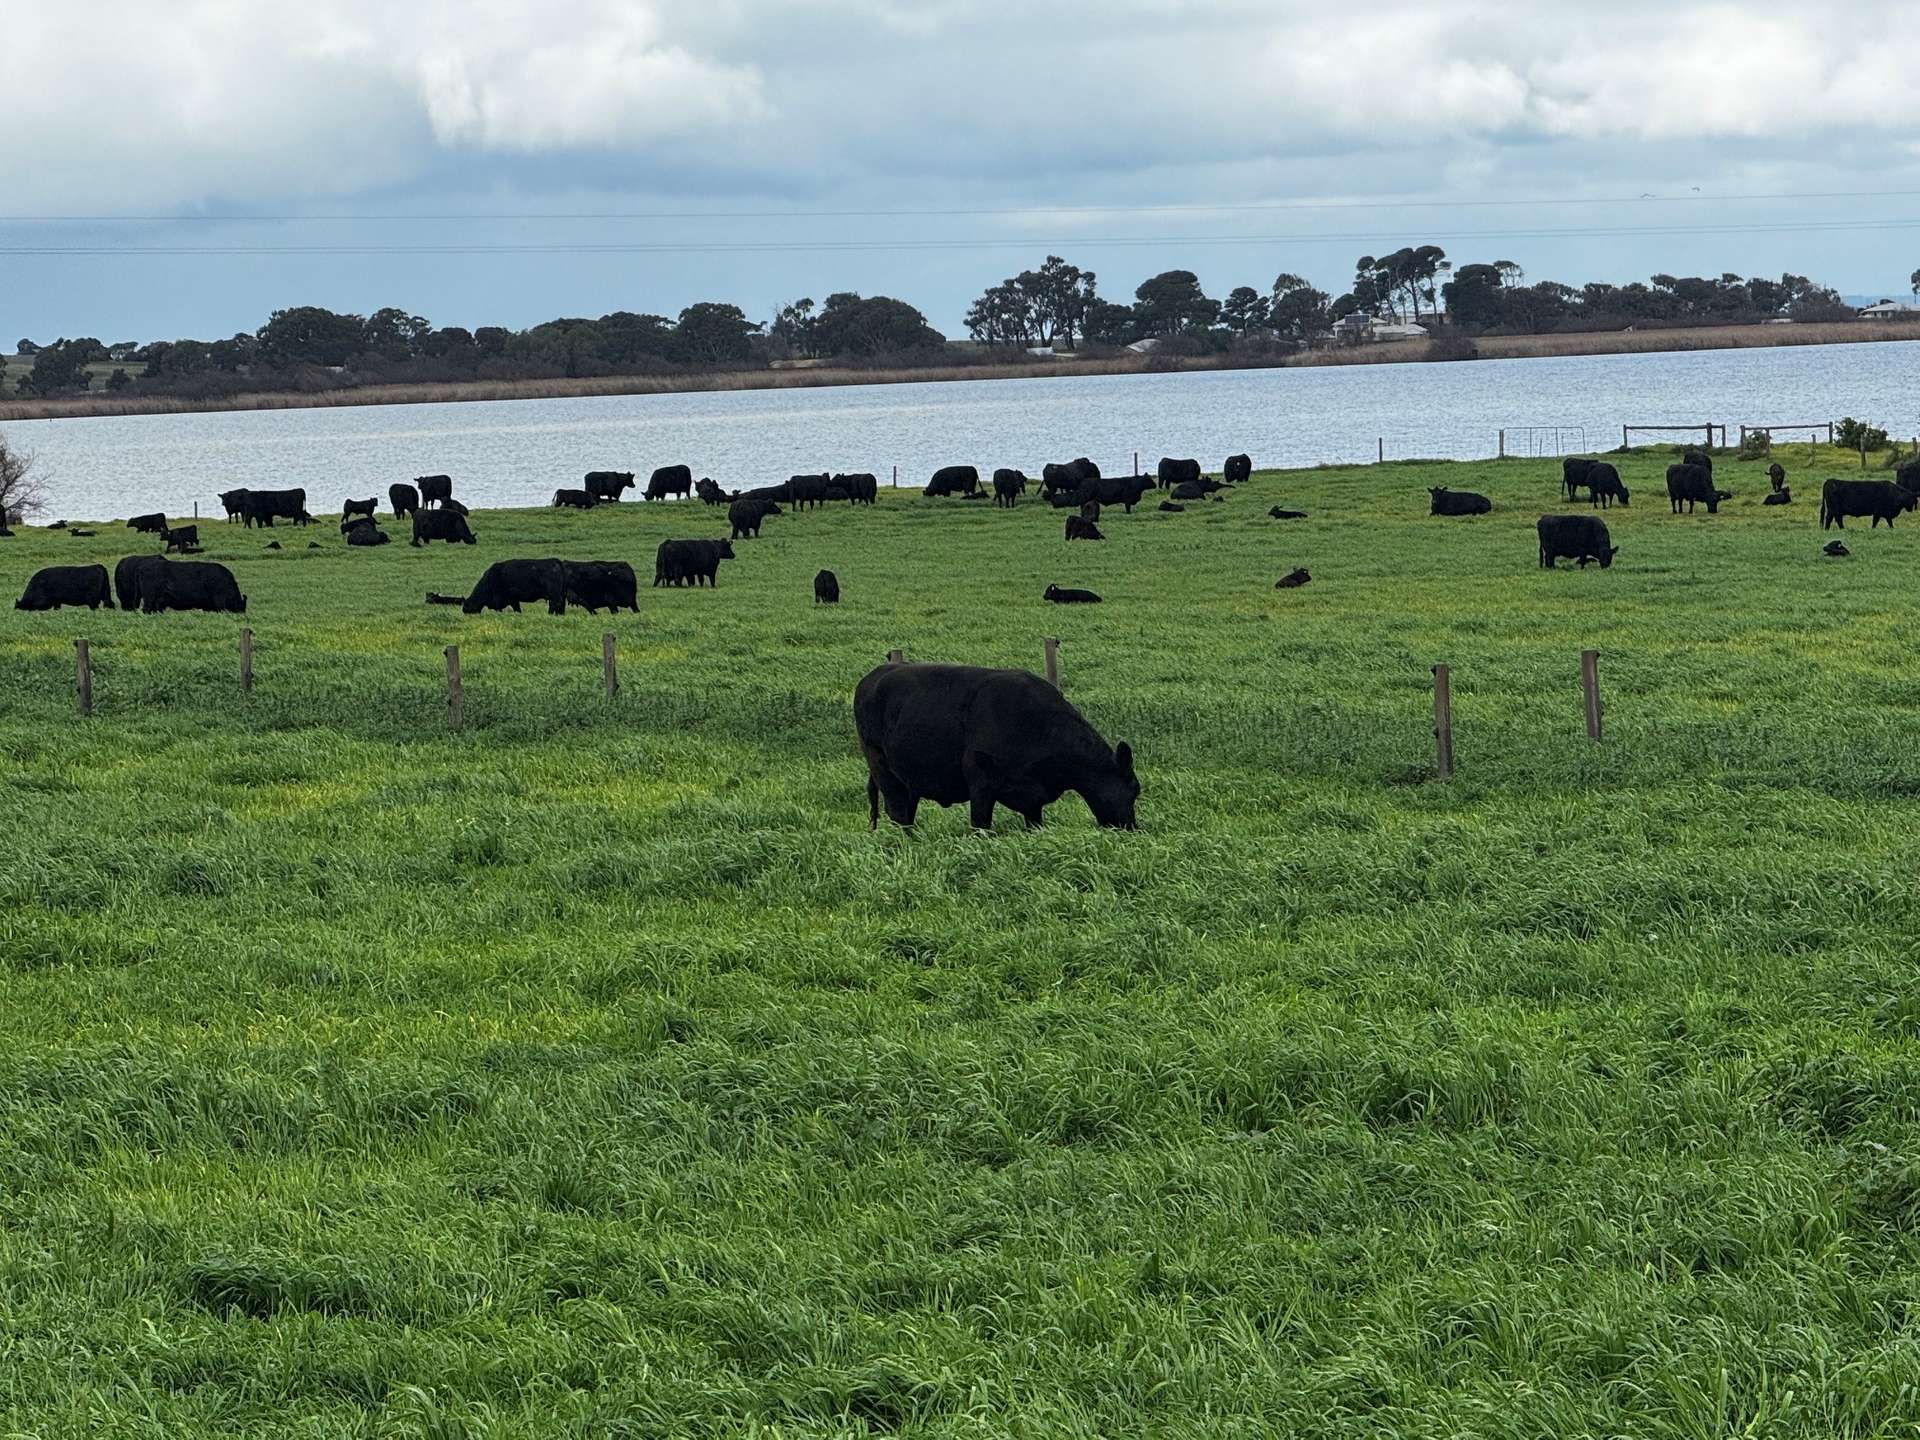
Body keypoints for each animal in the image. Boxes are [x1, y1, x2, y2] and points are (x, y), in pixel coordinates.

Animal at [854, 663, 1138, 831]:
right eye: (1135, 791)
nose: (1133, 829)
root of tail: (878, 672)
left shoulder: (1033, 800)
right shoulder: (981, 783)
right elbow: (981, 825)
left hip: (910, 778)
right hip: (883, 769)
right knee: (897, 811)